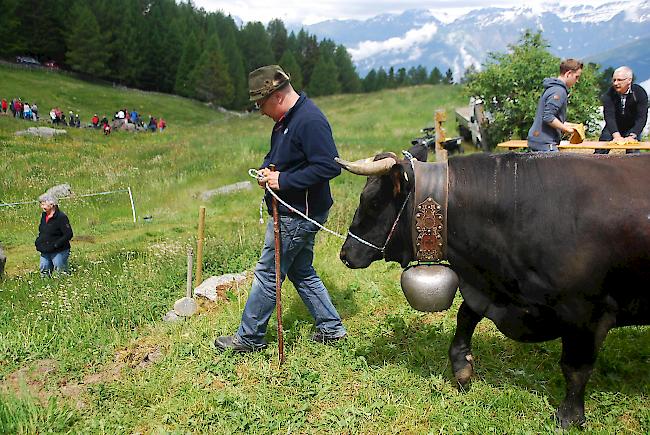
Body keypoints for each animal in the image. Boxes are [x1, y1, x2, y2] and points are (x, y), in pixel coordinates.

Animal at [336, 147, 644, 430]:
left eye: (373, 202)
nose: (345, 253)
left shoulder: (587, 313)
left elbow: (575, 369)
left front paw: (569, 417)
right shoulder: (489, 292)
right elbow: (465, 315)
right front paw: (462, 368)